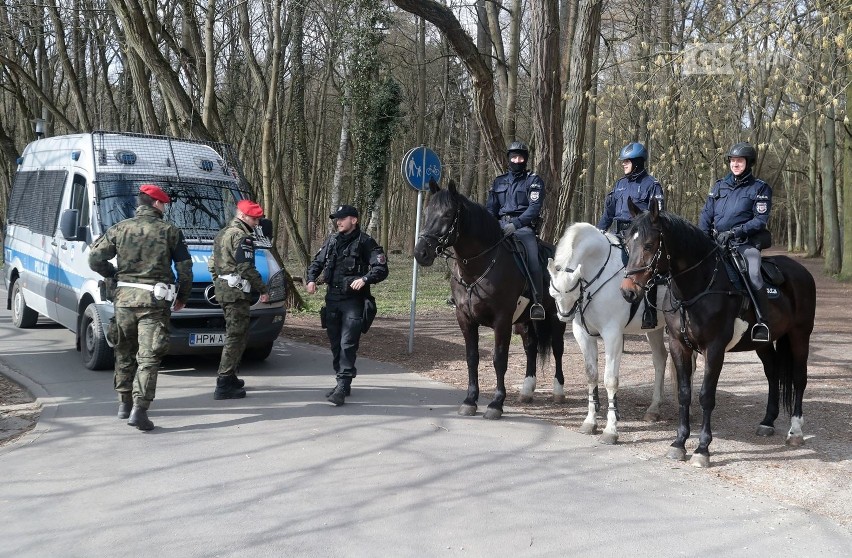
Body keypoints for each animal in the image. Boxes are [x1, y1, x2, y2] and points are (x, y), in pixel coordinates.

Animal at [412, 179, 564, 420]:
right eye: (426, 212)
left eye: (448, 214)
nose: (421, 253)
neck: (478, 267)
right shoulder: (465, 318)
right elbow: (472, 358)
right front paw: (470, 400)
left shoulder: (502, 321)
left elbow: (499, 359)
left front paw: (496, 404)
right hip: (525, 321)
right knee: (531, 347)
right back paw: (527, 390)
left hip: (556, 317)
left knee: (558, 348)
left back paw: (558, 391)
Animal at [544, 223, 672, 446]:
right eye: (553, 293)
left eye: (573, 290)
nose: (565, 316)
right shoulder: (583, 335)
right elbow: (591, 376)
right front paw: (590, 422)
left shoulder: (613, 335)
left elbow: (610, 380)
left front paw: (611, 430)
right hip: (654, 329)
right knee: (660, 359)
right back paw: (654, 409)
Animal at [624, 200, 816, 468]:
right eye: (626, 242)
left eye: (650, 245)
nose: (628, 291)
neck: (698, 287)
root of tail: (801, 271)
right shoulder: (678, 346)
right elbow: (684, 394)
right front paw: (679, 443)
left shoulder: (714, 349)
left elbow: (706, 396)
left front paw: (702, 449)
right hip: (763, 343)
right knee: (772, 374)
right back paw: (767, 422)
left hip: (800, 335)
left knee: (799, 378)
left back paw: (795, 431)